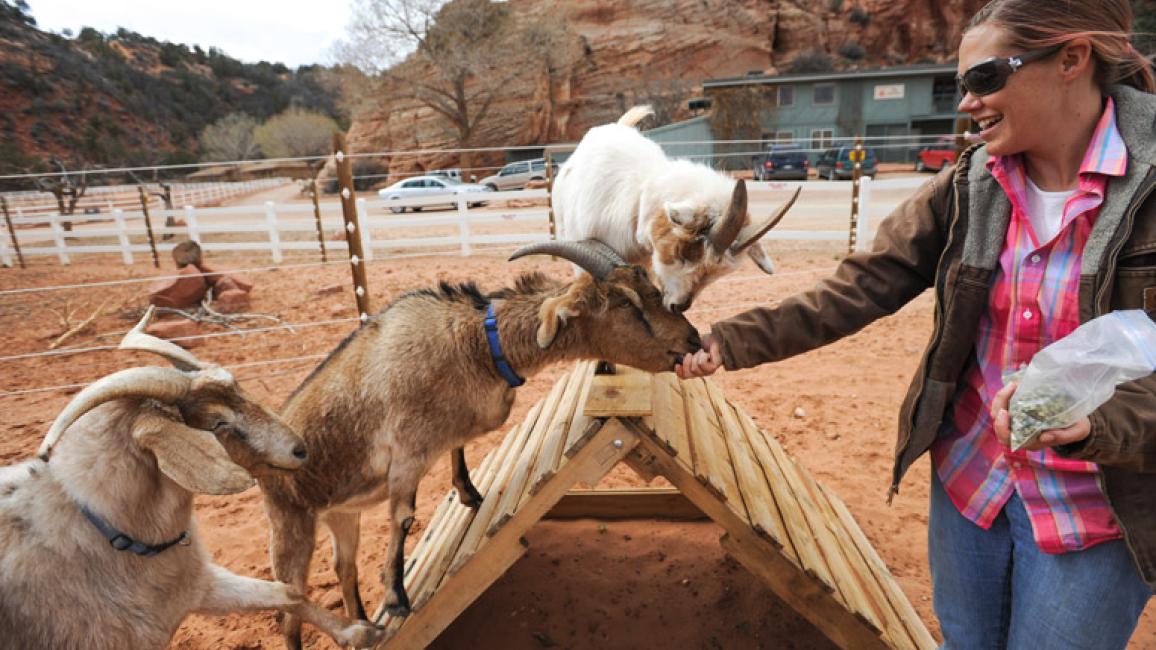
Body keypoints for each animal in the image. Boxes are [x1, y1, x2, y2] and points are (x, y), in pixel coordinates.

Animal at [260, 240, 701, 648]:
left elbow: (458, 448)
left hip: (341, 514)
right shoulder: (406, 454)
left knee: (344, 569)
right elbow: (403, 517)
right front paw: (397, 598)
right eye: (626, 303)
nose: (694, 340)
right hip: (290, 524)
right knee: (288, 608)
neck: (478, 345)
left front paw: (470, 493)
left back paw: (364, 624)